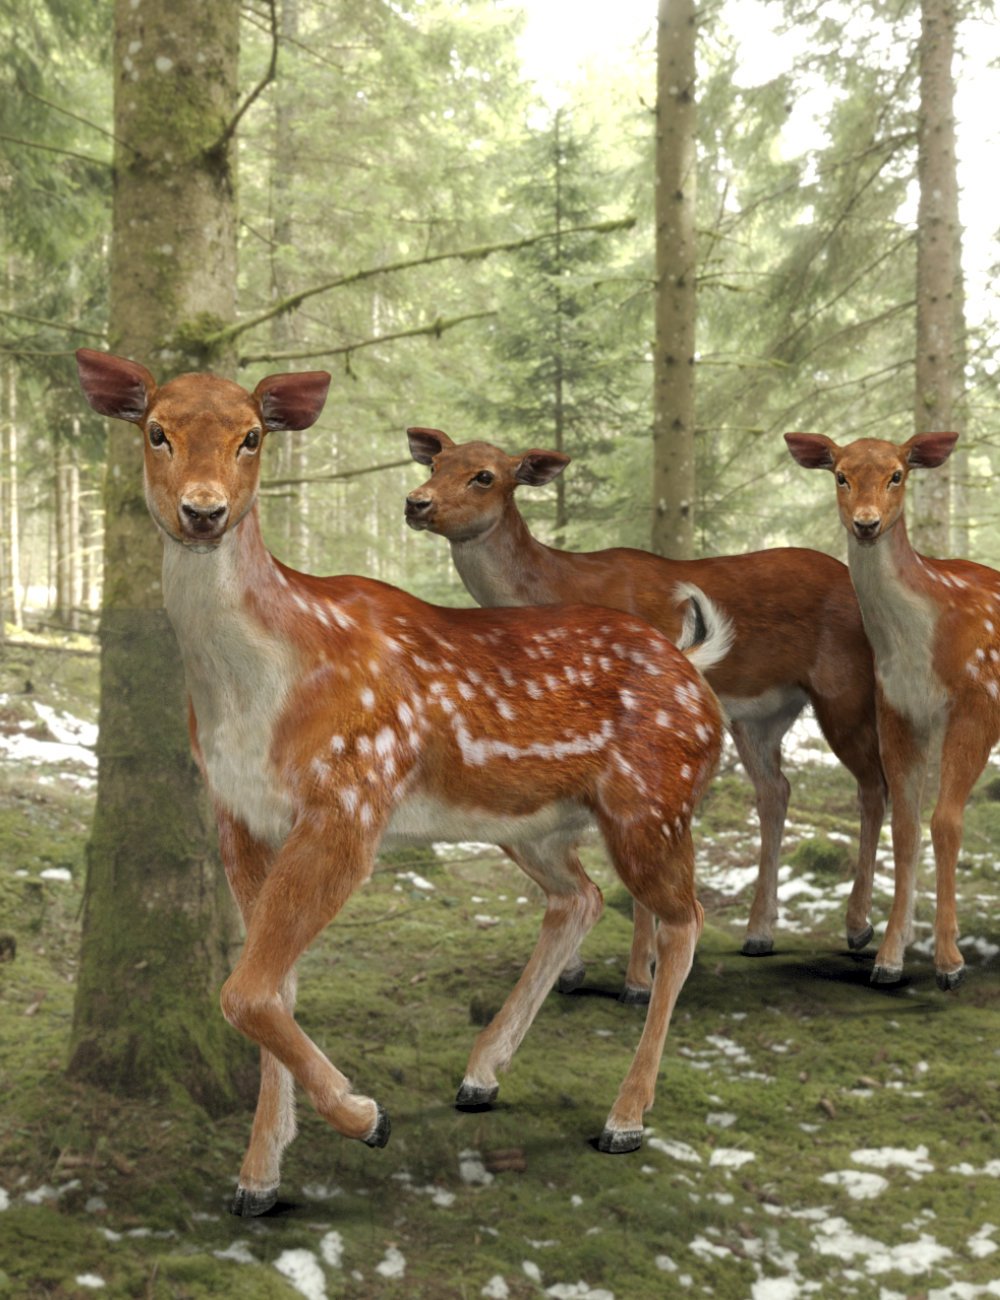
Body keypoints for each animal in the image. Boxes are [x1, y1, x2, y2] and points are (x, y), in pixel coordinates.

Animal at [76, 347, 732, 1218]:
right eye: (156, 430)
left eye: (253, 436)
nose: (204, 512)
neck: (259, 691)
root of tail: (695, 668)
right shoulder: (237, 815)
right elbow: (270, 987)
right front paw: (259, 1175)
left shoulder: (351, 797)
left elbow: (244, 990)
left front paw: (365, 1117)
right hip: (529, 821)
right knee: (581, 898)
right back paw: (481, 1075)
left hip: (651, 799)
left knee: (684, 919)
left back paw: (623, 1118)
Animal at [403, 427, 887, 963]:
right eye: (434, 465)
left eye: (484, 476)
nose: (416, 502)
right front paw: (576, 970)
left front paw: (639, 971)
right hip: (762, 713)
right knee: (776, 789)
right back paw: (760, 932)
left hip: (847, 685)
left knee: (877, 783)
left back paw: (863, 932)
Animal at [786, 430, 994, 990]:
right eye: (840, 475)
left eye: (897, 474)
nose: (866, 523)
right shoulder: (896, 710)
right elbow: (907, 826)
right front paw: (889, 958)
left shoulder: (977, 700)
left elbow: (946, 822)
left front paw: (950, 962)